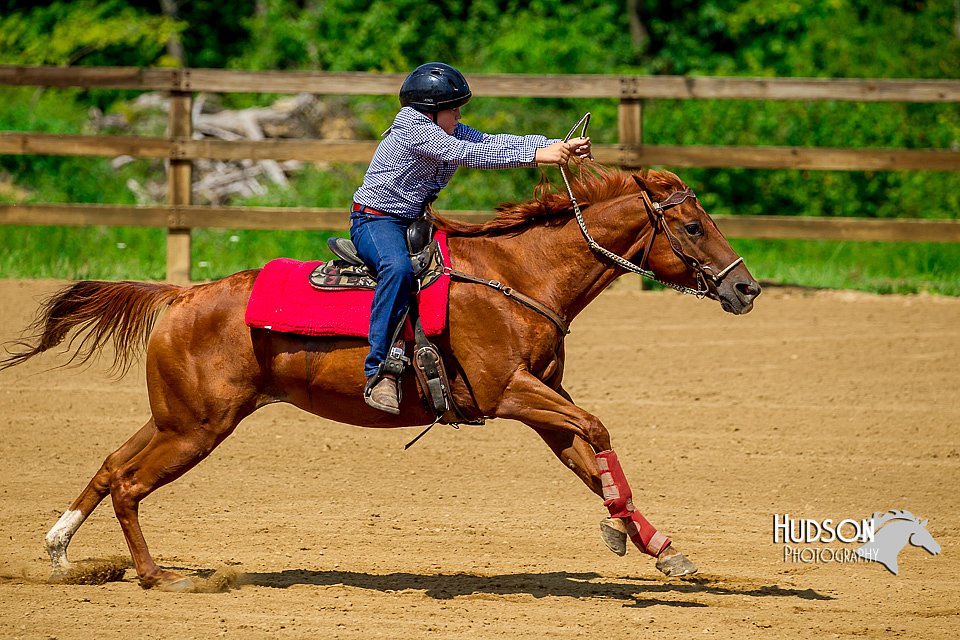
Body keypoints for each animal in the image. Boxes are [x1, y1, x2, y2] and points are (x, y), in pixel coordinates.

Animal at [3, 164, 760, 592]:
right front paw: (623, 529)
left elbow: (587, 452)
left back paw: (63, 554)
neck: (518, 277)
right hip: (196, 428)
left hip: (180, 417)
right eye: (693, 226)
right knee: (129, 484)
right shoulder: (509, 394)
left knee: (110, 465)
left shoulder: (546, 403)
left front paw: (660, 547)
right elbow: (598, 430)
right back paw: (157, 577)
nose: (746, 287)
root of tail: (183, 294)